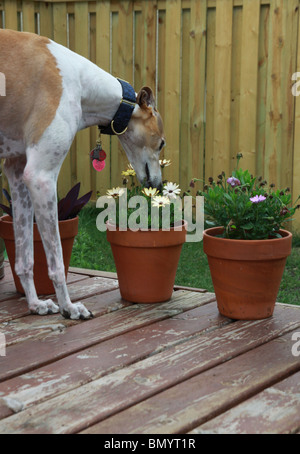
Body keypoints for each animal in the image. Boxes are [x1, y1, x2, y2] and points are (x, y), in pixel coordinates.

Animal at [0, 29, 165, 320]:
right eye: (162, 143)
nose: (157, 184)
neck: (80, 82)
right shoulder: (41, 176)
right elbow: (56, 261)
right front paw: (69, 307)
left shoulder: (18, 172)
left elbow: (25, 258)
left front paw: (36, 304)